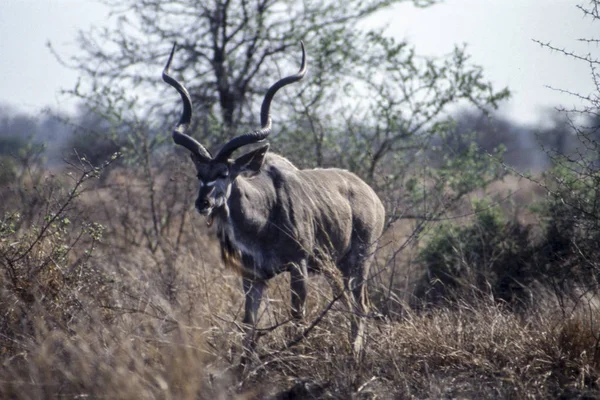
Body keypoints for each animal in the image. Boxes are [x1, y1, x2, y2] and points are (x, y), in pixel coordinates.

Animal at [162, 41, 384, 354]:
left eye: (224, 173)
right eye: (199, 174)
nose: (202, 203)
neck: (262, 220)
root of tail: (372, 195)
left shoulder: (298, 267)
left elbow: (297, 317)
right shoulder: (253, 277)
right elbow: (248, 323)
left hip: (359, 260)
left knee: (360, 303)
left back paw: (355, 354)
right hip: (336, 266)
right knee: (350, 302)